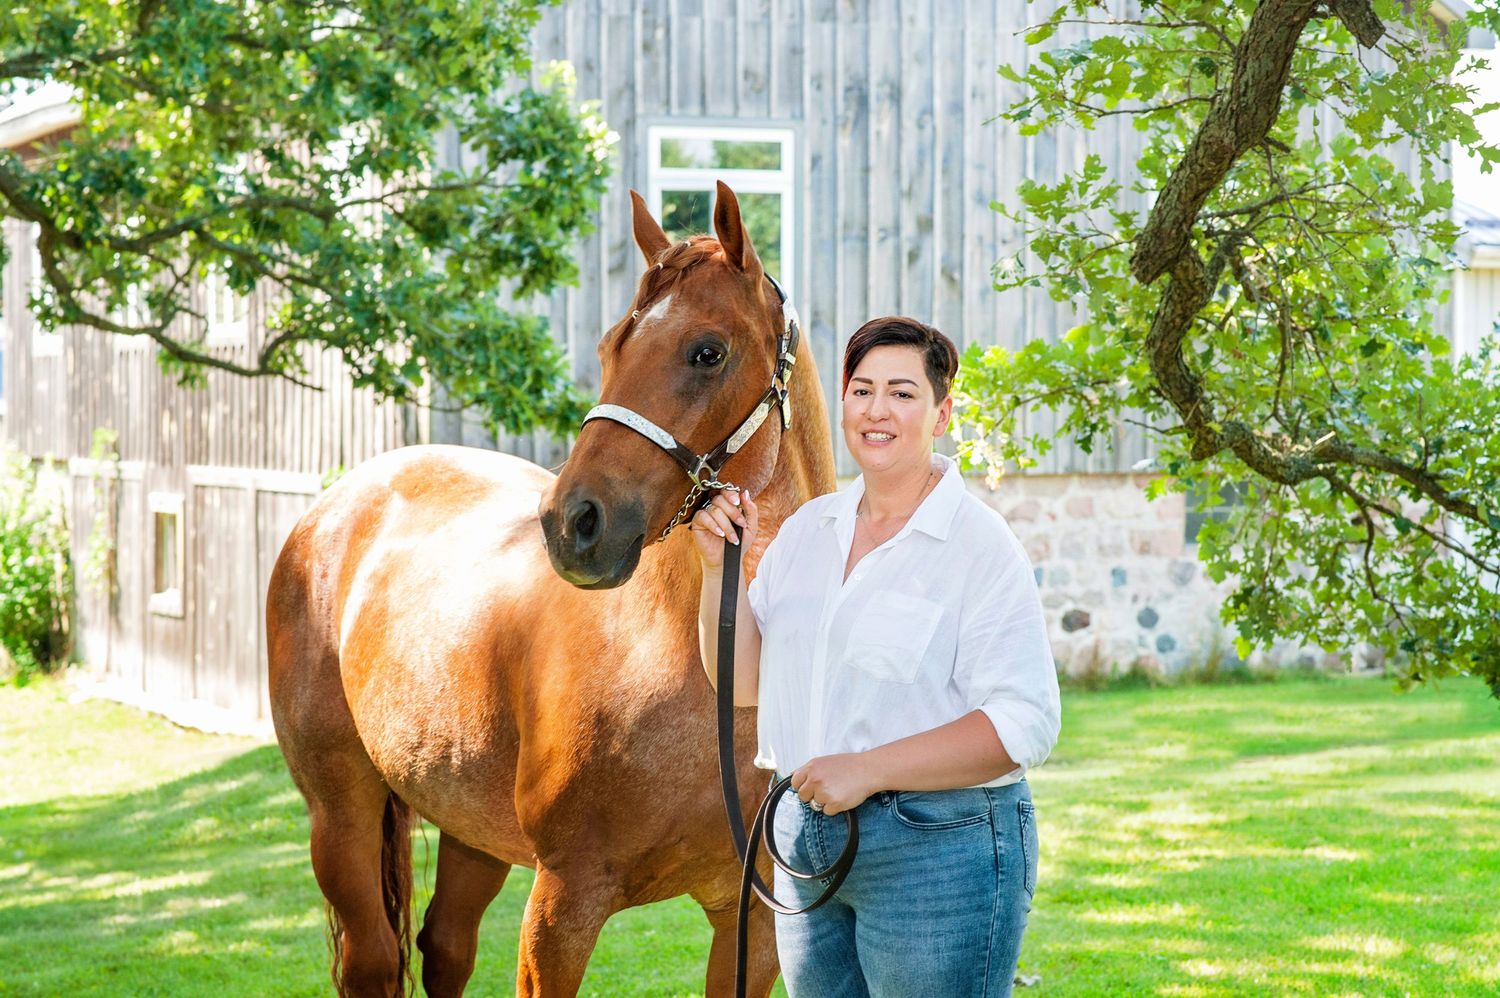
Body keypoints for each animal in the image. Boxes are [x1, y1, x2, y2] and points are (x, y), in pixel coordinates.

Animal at [266, 182, 836, 997]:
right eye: (609, 349)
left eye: (707, 351)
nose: (573, 523)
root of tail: (336, 503)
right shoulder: (563, 903)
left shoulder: (750, 921)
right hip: (339, 816)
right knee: (373, 959)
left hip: (469, 828)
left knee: (446, 946)